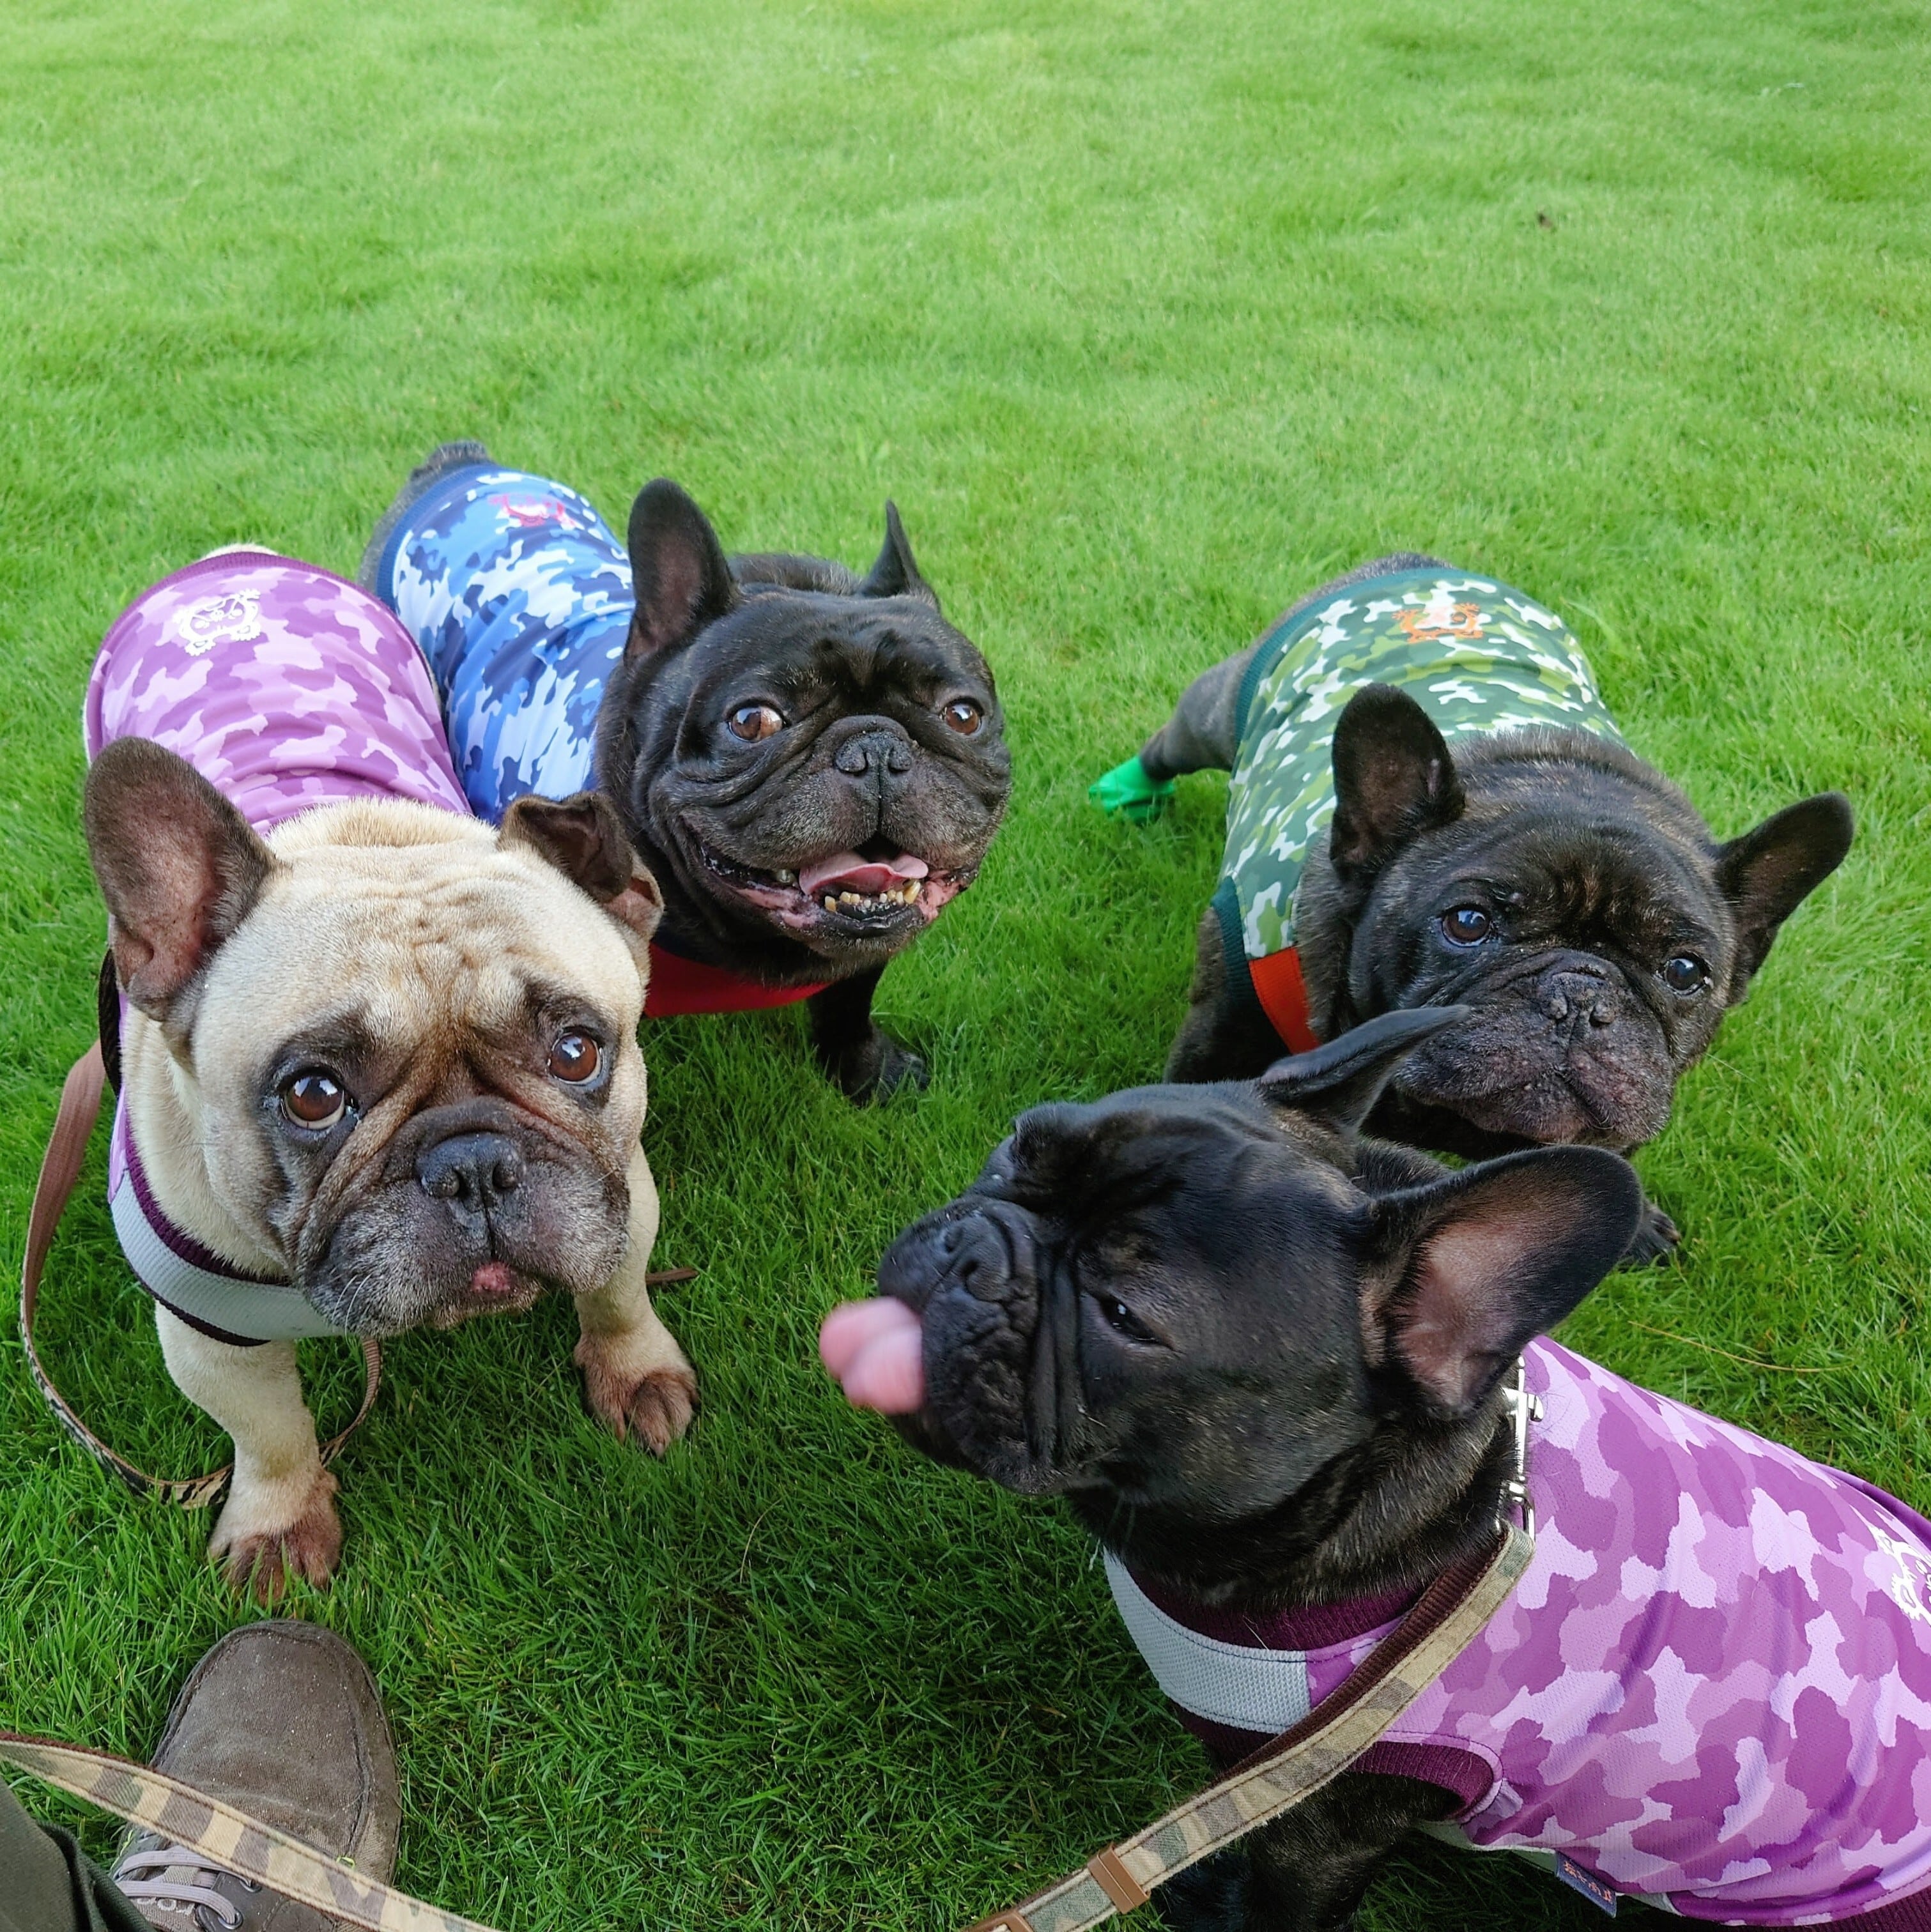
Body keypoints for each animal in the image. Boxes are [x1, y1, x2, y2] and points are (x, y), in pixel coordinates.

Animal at [83, 550, 695, 1598]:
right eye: (312, 1096)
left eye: (577, 1050)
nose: (475, 1165)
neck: (367, 843)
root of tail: (228, 562)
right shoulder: (210, 1335)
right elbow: (269, 1435)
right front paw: (279, 1523)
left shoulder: (619, 1191)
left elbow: (618, 1290)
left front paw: (635, 1372)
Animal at [361, 445, 1012, 1102]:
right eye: (752, 721)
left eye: (964, 715)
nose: (874, 748)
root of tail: (460, 464)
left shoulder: (869, 944)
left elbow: (851, 996)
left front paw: (865, 1072)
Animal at [1091, 557, 1852, 1253]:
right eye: (1467, 924)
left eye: (1686, 971)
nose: (1579, 996)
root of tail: (1420, 564)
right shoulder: (1224, 1037)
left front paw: (1633, 1224)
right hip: (1215, 710)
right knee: (1172, 744)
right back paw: (1129, 790)